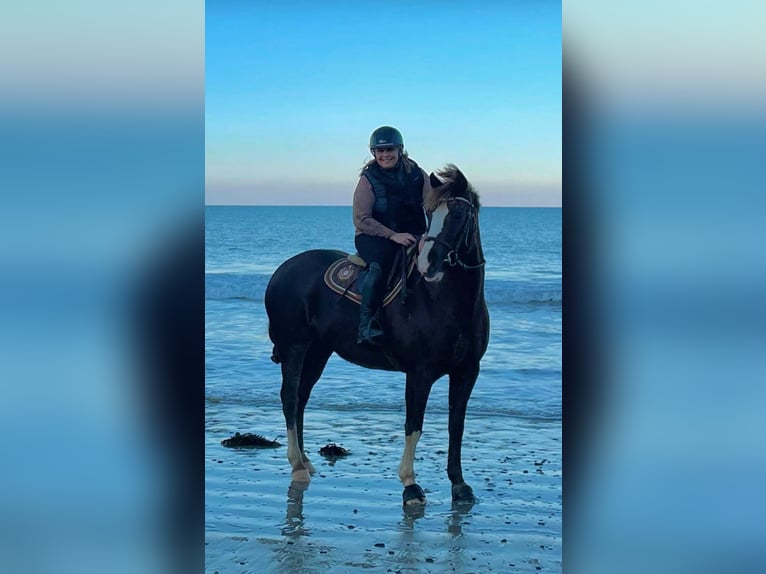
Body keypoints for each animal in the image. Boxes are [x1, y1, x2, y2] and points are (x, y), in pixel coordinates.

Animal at [264, 164, 489, 506]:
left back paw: (305, 461)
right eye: (431, 213)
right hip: (295, 348)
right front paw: (410, 485)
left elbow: (456, 425)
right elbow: (414, 424)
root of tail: (281, 272)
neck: (447, 301)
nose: (428, 264)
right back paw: (297, 467)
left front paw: (459, 485)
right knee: (289, 397)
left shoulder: (466, 371)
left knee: (301, 397)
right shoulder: (420, 372)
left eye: (459, 215)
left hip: (318, 352)